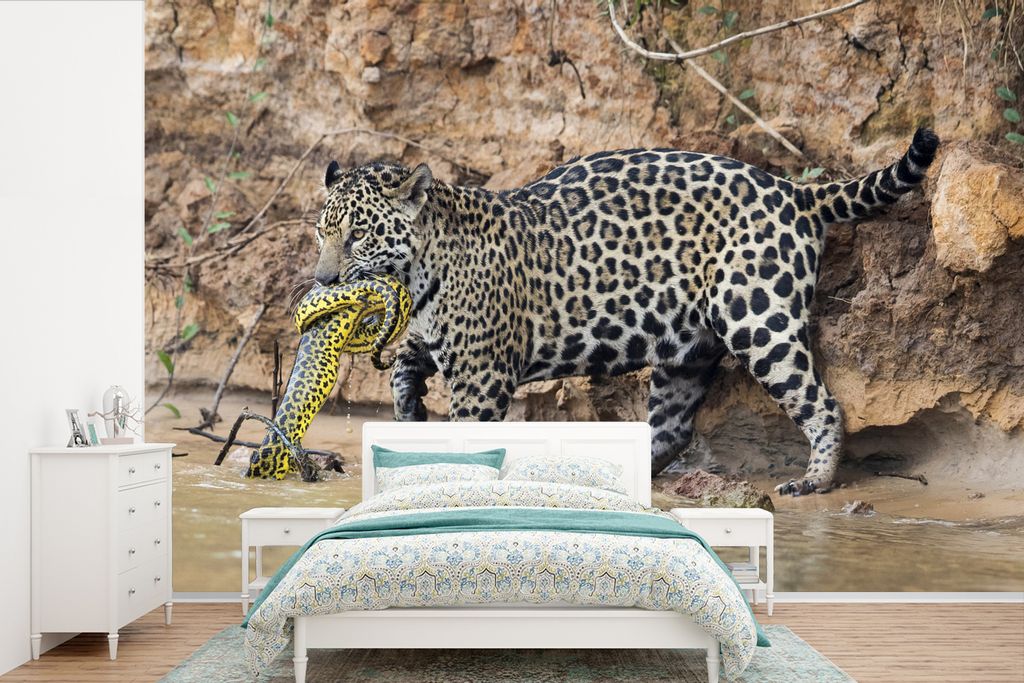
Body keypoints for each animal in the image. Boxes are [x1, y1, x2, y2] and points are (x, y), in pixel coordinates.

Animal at [311, 128, 940, 496]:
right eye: (322, 233)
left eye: (358, 236)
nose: (323, 280)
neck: (419, 269)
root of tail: (795, 192)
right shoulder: (442, 340)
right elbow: (404, 364)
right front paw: (410, 409)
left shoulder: (483, 374)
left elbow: (470, 435)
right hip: (687, 348)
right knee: (674, 426)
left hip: (757, 318)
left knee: (822, 403)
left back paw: (814, 479)